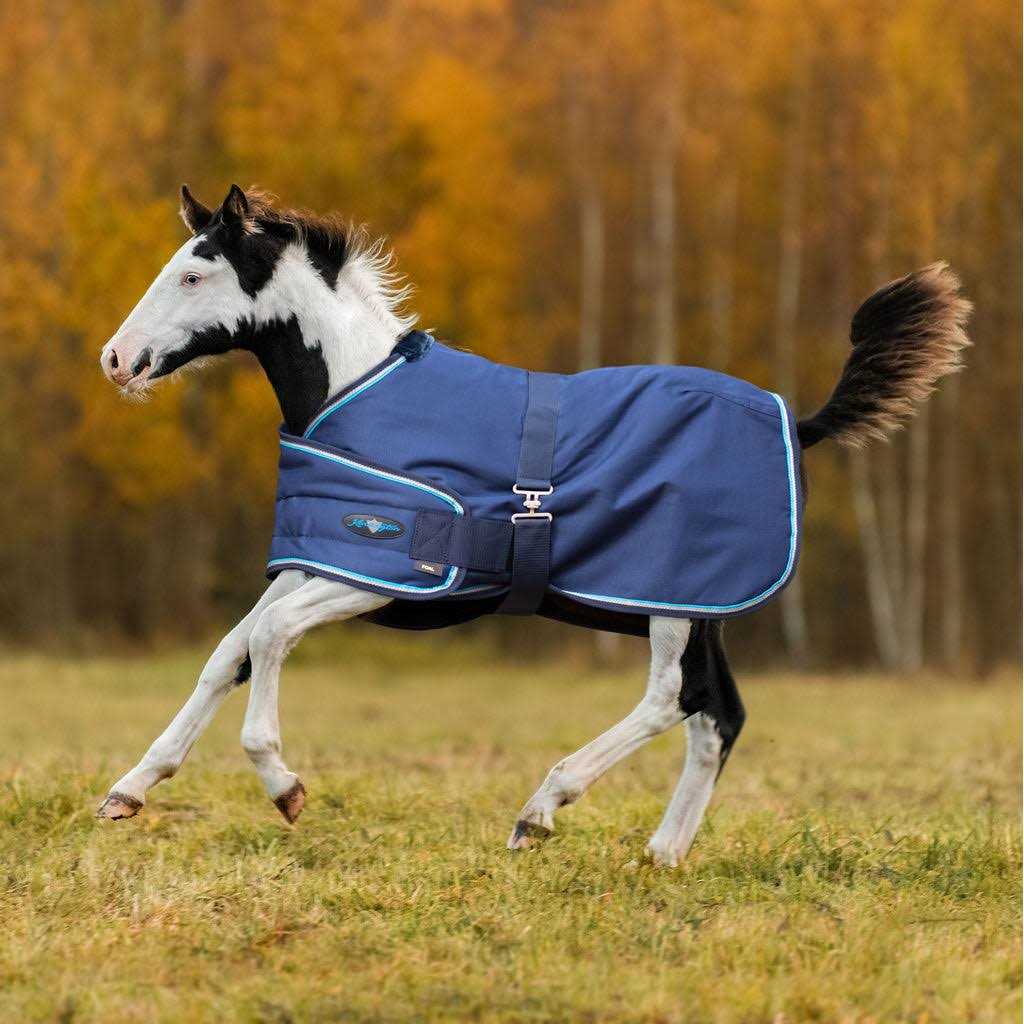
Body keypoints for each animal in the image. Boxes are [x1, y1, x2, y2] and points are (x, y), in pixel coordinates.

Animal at [97, 184, 970, 866]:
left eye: (193, 273)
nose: (116, 359)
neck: (355, 391)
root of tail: (801, 425)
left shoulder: (388, 576)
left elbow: (271, 640)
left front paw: (285, 787)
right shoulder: (318, 562)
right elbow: (231, 651)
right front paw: (129, 790)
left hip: (671, 605)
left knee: (671, 699)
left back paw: (542, 808)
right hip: (698, 610)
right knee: (717, 716)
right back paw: (661, 855)